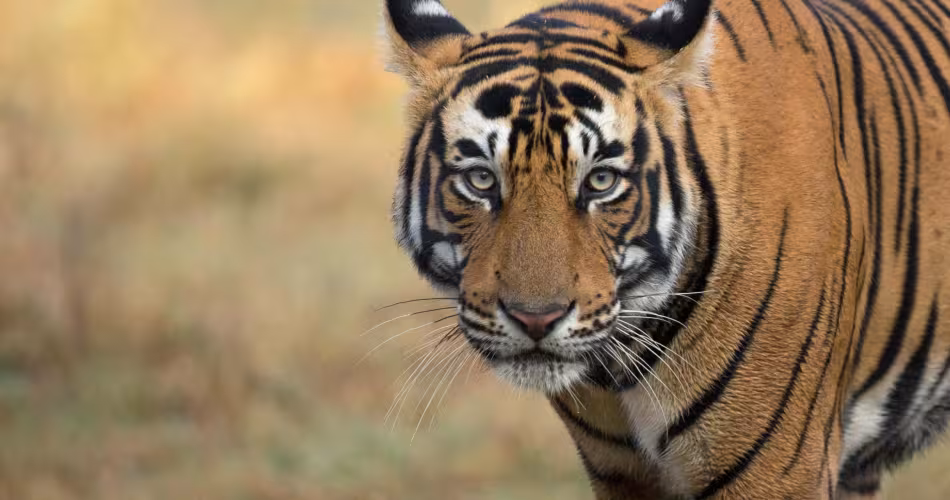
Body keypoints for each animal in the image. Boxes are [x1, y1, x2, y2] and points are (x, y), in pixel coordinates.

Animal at [379, 0, 950, 497]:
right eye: (480, 179)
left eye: (601, 181)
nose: (535, 319)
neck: (621, 370)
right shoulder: (623, 473)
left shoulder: (776, 470)